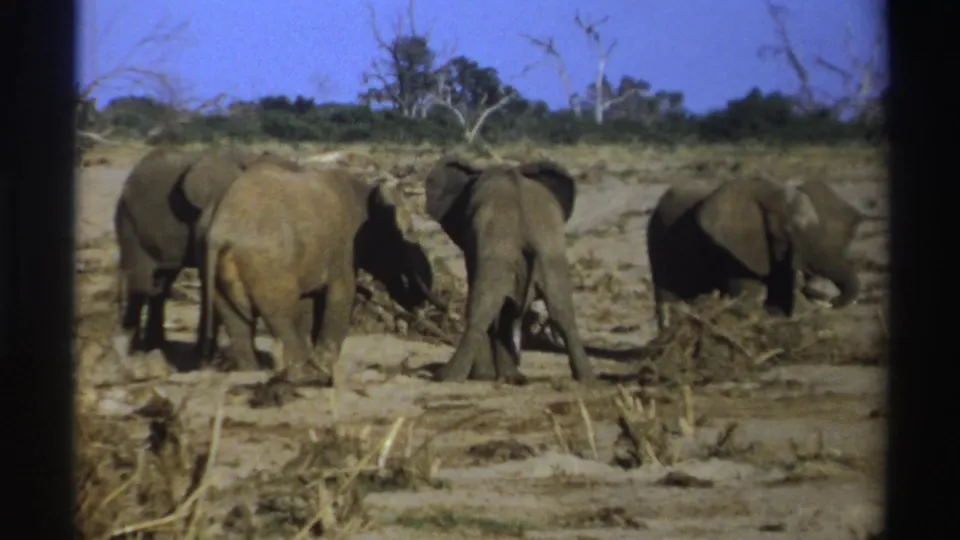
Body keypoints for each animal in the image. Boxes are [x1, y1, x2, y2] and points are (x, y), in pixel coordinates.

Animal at [113, 146, 300, 358]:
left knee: (160, 284)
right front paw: (205, 357)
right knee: (142, 283)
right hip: (129, 224)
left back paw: (156, 347)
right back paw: (136, 350)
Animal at [199, 162, 446, 386]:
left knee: (236, 321)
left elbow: (309, 304)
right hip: (269, 266)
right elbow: (342, 294)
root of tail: (220, 231)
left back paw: (252, 372)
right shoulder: (344, 249)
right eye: (406, 233)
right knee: (281, 314)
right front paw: (322, 368)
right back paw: (301, 376)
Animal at [423, 157, 595, 384]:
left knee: (482, 308)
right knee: (561, 308)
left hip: (501, 250)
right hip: (550, 253)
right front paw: (506, 376)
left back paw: (449, 377)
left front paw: (487, 376)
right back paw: (585, 377)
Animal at [646, 176, 865, 332]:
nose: (830, 301)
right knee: (668, 297)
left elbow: (778, 294)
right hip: (659, 243)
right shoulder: (733, 249)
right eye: (789, 232)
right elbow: (749, 295)